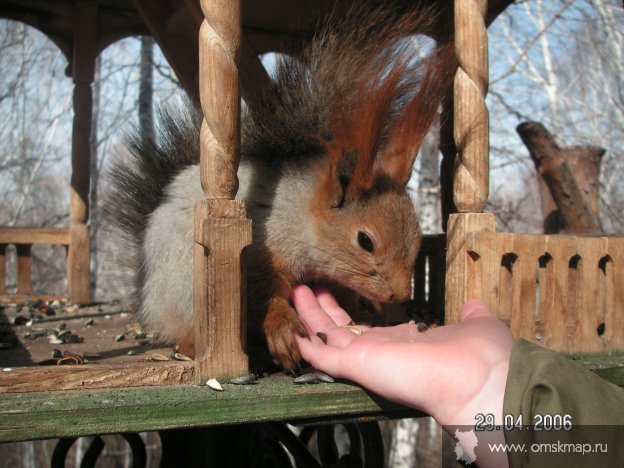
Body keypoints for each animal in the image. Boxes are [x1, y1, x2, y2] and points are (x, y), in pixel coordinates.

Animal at [106, 1, 454, 372]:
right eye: (365, 241)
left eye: (418, 236)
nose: (399, 295)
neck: (299, 218)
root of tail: (147, 299)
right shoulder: (259, 256)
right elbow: (261, 297)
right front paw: (283, 327)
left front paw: (364, 317)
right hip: (187, 285)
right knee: (188, 338)